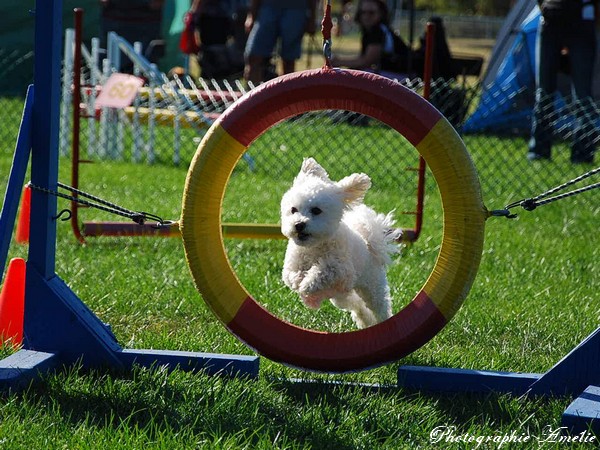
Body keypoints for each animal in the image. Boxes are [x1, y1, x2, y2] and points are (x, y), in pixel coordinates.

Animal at [278, 160, 400, 328]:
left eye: (316, 210)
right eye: (293, 209)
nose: (299, 224)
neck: (314, 247)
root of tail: (370, 244)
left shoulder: (341, 270)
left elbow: (323, 271)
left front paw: (307, 284)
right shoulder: (292, 264)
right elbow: (291, 276)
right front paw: (300, 282)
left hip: (372, 287)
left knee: (379, 307)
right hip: (341, 297)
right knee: (357, 306)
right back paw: (365, 321)